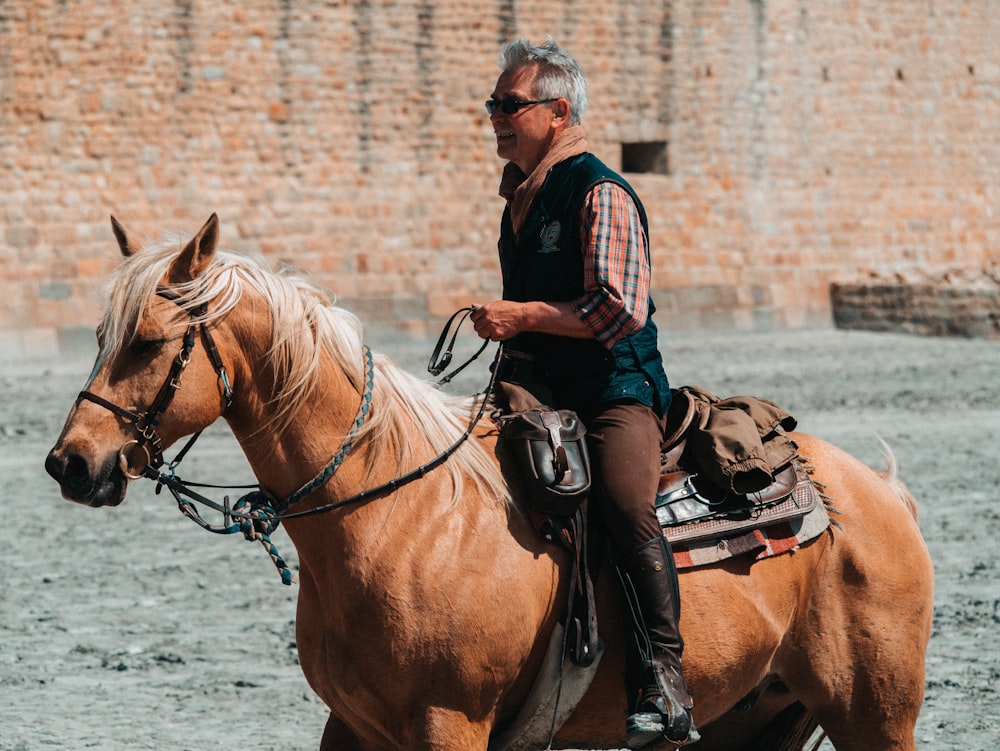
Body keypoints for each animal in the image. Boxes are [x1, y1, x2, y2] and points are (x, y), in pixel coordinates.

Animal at [48, 216, 936, 751]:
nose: (72, 462)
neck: (397, 517)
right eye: (98, 335)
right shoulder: (354, 726)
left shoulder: (451, 723)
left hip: (874, 716)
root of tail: (879, 493)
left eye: (150, 340)